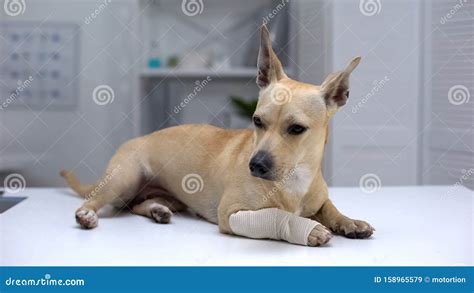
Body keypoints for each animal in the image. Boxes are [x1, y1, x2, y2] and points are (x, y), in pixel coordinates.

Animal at [61, 25, 374, 245]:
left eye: (296, 128)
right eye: (257, 121)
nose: (255, 165)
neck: (294, 180)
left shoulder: (318, 198)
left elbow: (329, 207)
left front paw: (349, 221)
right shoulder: (233, 215)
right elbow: (276, 216)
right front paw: (310, 230)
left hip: (165, 195)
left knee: (136, 205)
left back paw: (157, 210)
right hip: (124, 179)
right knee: (97, 202)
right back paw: (87, 214)